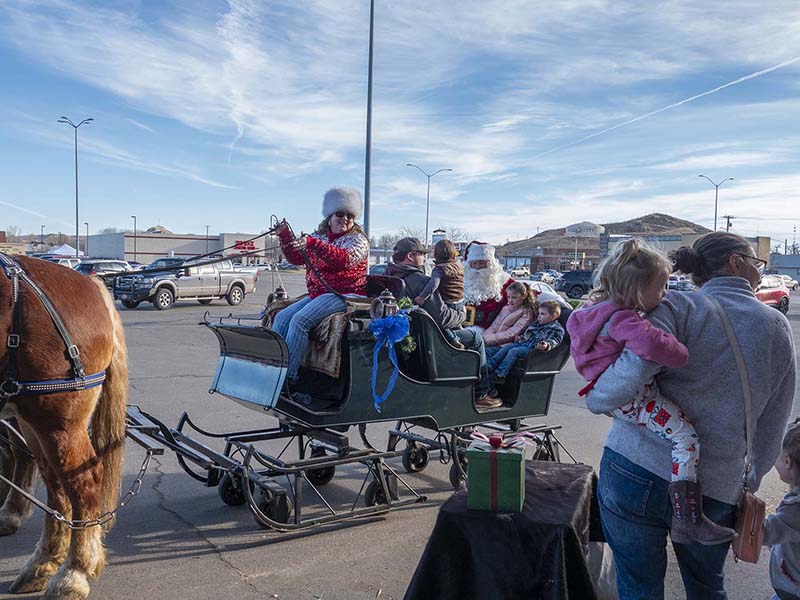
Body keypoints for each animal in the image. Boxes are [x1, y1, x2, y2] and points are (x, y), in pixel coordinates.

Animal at [0, 256, 126, 600]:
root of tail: (91, 284)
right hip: (33, 419)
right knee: (56, 486)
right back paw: (43, 562)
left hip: (58, 421)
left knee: (83, 482)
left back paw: (74, 572)